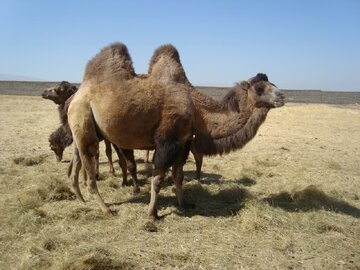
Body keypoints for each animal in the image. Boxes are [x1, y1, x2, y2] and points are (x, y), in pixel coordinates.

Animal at [67, 42, 284, 219]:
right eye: (259, 89)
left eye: (273, 84)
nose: (281, 96)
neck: (197, 109)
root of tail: (76, 96)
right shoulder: (167, 140)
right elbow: (157, 178)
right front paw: (152, 214)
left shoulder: (184, 141)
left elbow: (178, 176)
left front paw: (184, 204)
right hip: (83, 118)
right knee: (90, 171)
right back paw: (106, 209)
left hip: (86, 130)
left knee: (76, 162)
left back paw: (80, 199)